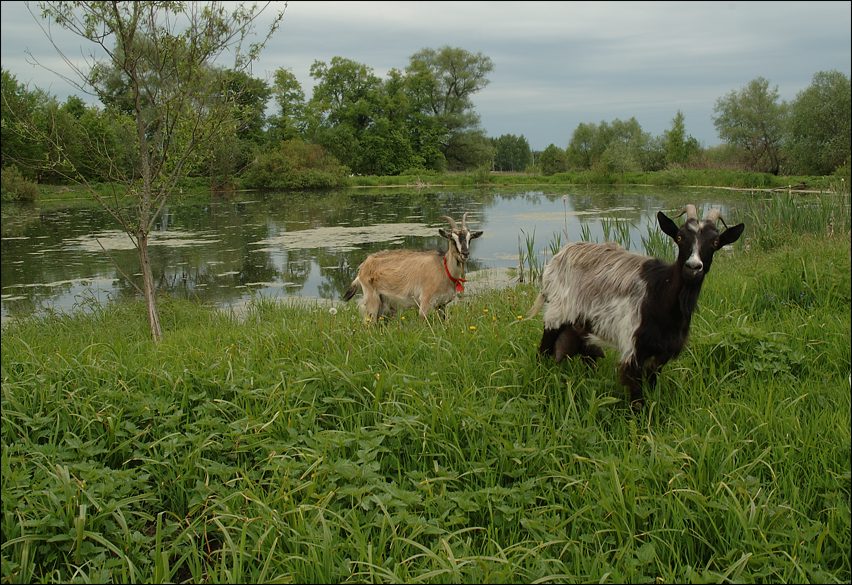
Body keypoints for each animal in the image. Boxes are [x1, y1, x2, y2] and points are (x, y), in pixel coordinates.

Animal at [342, 212, 482, 320]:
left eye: (470, 238)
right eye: (452, 239)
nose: (465, 253)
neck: (443, 267)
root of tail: (363, 266)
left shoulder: (442, 305)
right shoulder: (425, 302)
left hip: (384, 305)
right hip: (372, 299)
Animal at [528, 208, 744, 408]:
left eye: (715, 242)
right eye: (680, 237)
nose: (693, 267)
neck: (661, 294)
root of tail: (558, 256)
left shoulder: (661, 353)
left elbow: (653, 384)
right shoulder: (633, 349)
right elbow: (637, 398)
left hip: (583, 327)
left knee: (587, 356)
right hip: (556, 314)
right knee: (544, 350)